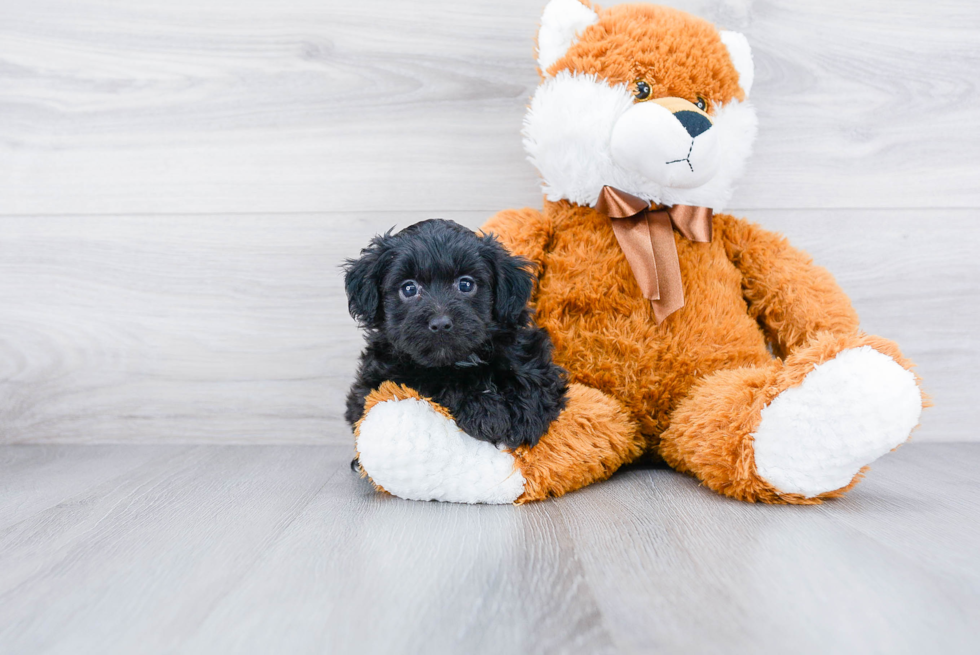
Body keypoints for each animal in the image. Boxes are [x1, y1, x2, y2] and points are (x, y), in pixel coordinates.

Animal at [346, 220, 568, 452]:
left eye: (465, 284)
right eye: (408, 288)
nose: (441, 324)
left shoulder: (523, 342)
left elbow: (533, 372)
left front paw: (527, 414)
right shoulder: (388, 376)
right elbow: (439, 383)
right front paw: (487, 412)